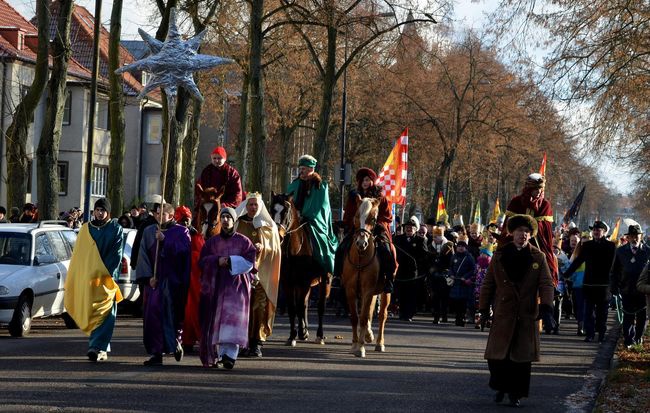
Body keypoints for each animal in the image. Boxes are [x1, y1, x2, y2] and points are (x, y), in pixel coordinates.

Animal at [270, 192, 330, 346]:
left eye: (286, 211)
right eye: (272, 210)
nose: (278, 236)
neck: (295, 251)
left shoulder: (304, 282)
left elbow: (300, 307)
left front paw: (300, 333)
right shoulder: (288, 283)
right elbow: (293, 308)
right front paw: (292, 336)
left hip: (325, 280)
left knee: (320, 306)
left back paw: (319, 335)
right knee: (304, 305)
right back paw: (303, 331)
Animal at [340, 196, 390, 358]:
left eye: (373, 219)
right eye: (356, 217)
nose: (361, 243)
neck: (360, 258)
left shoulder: (368, 290)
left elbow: (363, 318)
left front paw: (361, 347)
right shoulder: (351, 290)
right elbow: (355, 317)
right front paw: (354, 344)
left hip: (385, 292)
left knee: (382, 315)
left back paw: (379, 343)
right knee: (369, 313)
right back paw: (368, 335)